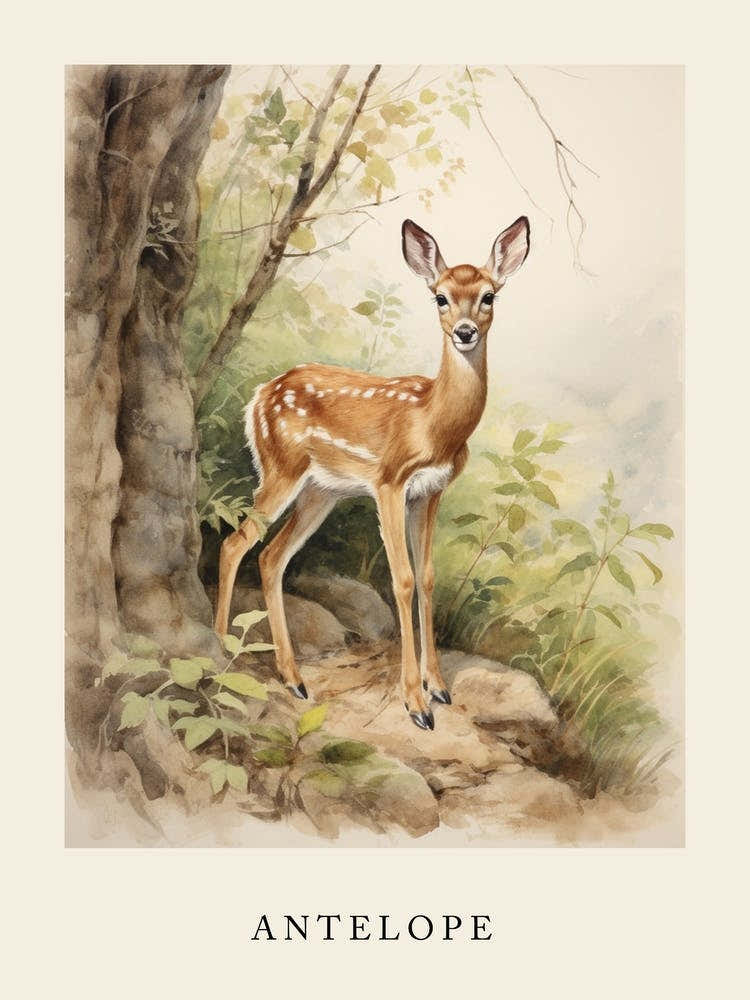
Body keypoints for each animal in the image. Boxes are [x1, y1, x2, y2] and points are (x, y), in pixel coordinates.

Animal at [214, 216, 530, 730]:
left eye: (490, 296)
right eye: (440, 297)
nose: (464, 332)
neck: (432, 424)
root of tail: (258, 396)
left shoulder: (431, 492)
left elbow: (427, 576)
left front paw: (439, 687)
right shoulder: (389, 481)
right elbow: (401, 580)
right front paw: (416, 704)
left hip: (320, 492)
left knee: (271, 556)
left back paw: (293, 678)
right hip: (282, 467)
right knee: (235, 543)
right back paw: (222, 646)